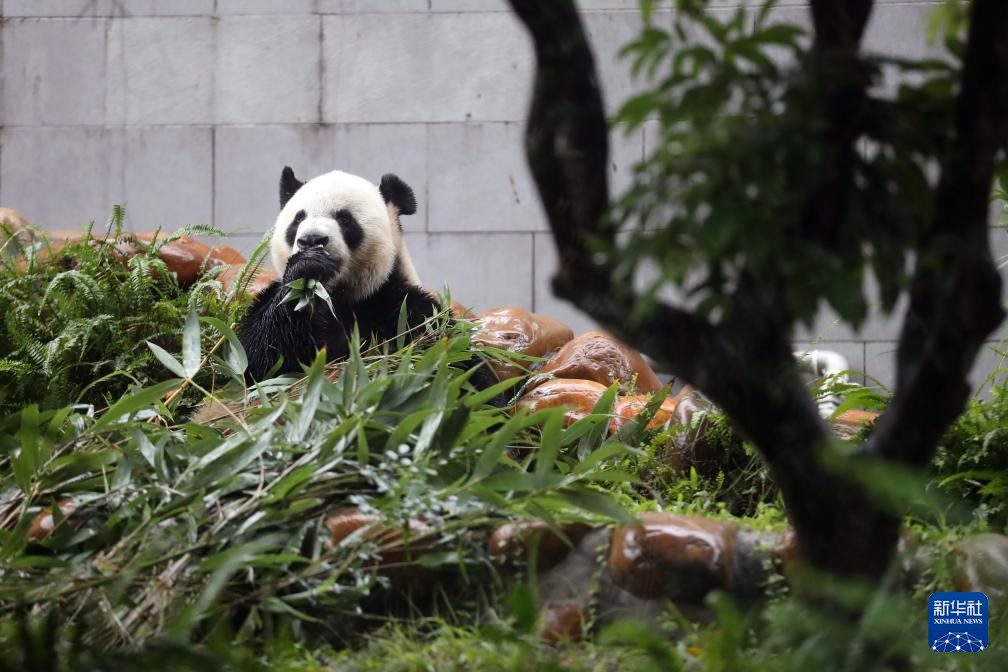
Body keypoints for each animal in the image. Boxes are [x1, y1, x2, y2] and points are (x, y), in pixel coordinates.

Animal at [240, 165, 499, 390]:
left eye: (345, 219)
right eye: (297, 219)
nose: (312, 240)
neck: (340, 296)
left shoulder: (404, 307)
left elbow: (454, 361)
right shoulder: (271, 301)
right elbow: (258, 358)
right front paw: (307, 267)